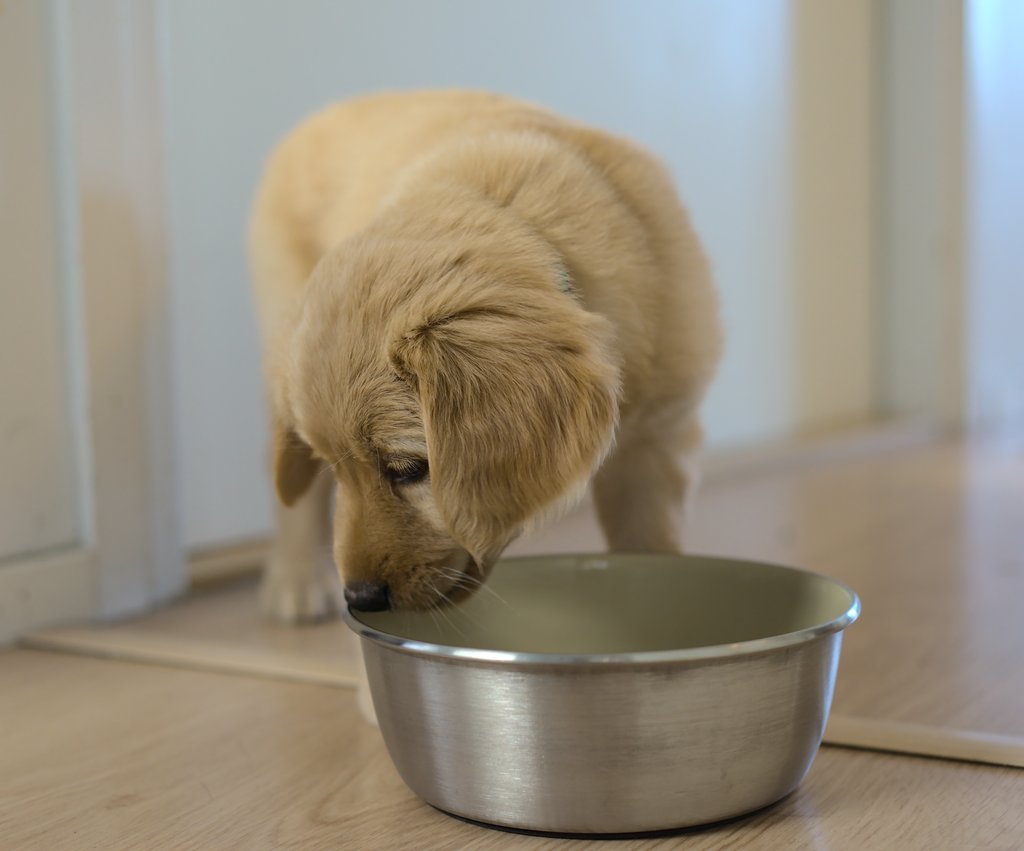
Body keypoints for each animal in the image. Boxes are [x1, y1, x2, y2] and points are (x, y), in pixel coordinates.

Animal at [246, 90, 720, 622]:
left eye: (409, 469)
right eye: (336, 467)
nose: (361, 598)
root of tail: (328, 111)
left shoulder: (659, 436)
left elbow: (649, 541)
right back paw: (296, 578)